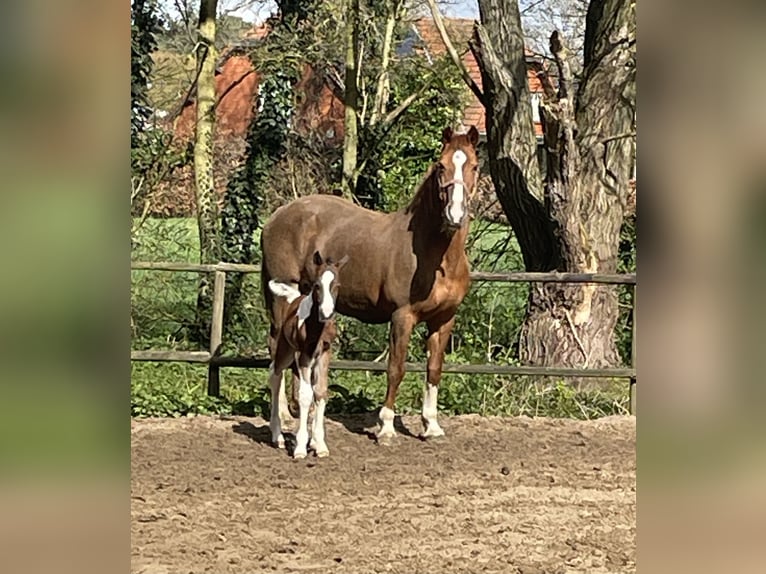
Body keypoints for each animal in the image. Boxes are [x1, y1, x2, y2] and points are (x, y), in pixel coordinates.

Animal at [266, 251, 348, 458]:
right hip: (286, 350)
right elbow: (305, 395)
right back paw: (278, 436)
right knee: (275, 373)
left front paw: (320, 445)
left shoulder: (325, 353)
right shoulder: (304, 354)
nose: (326, 313)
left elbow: (320, 391)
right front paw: (301, 447)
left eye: (337, 286)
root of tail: (293, 298)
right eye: (317, 285)